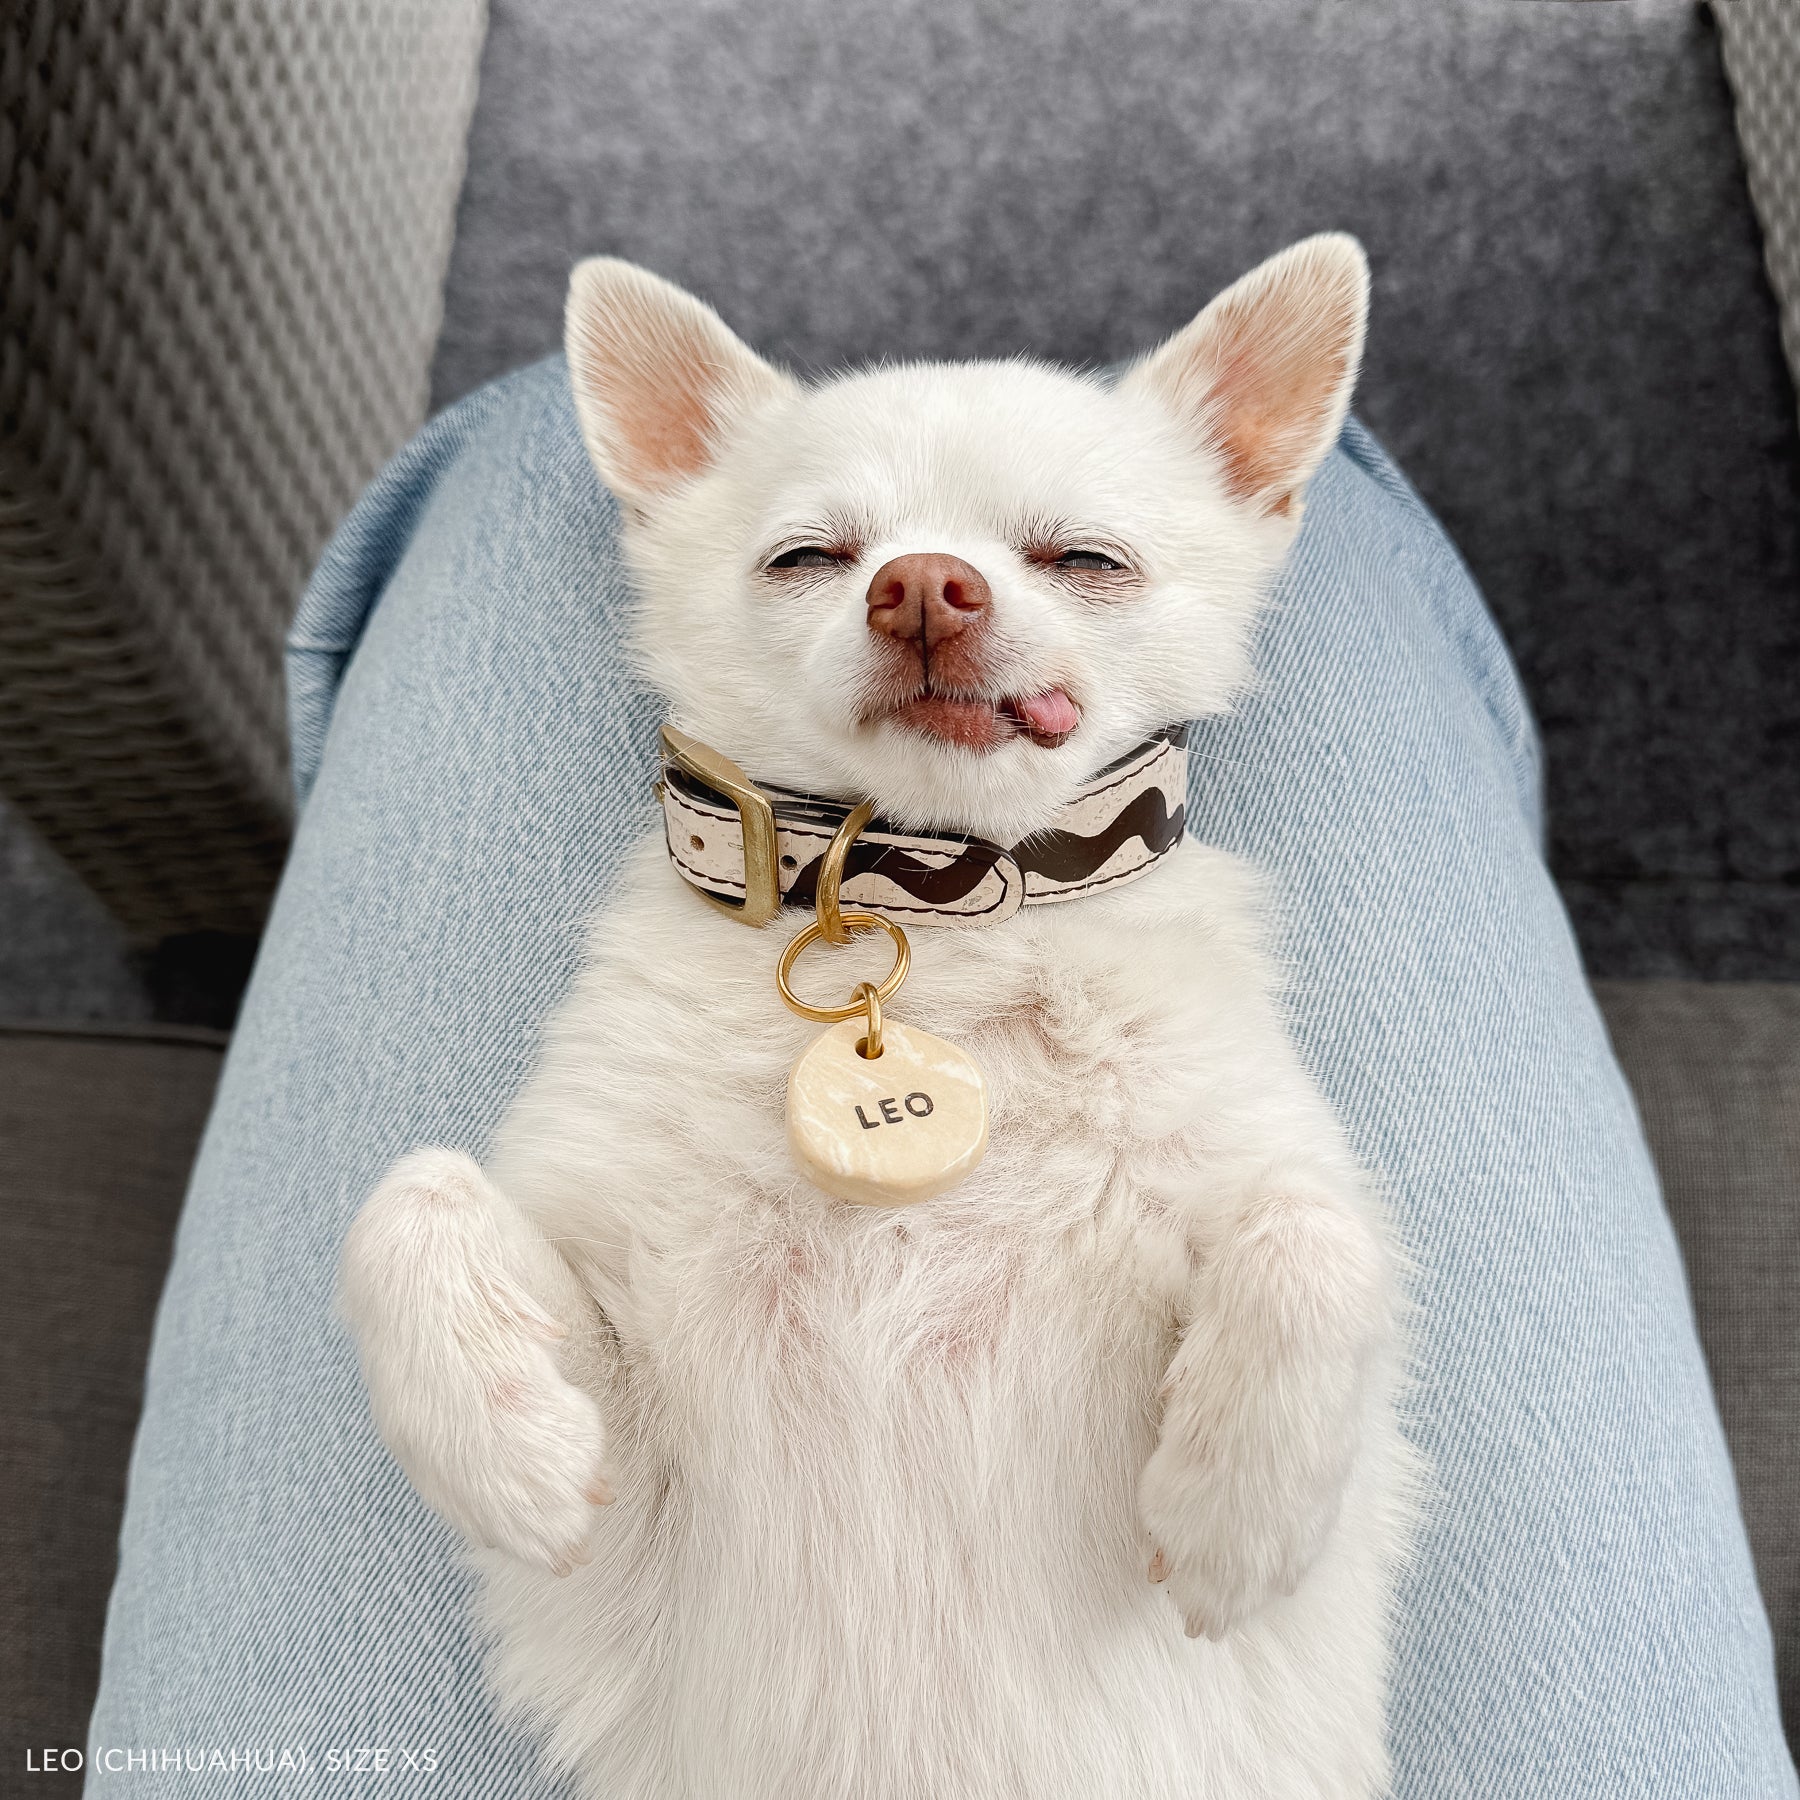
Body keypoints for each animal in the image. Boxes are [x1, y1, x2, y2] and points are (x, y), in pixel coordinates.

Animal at [340, 239, 1418, 1800]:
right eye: (808, 558)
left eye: (1085, 557)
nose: (924, 584)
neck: (937, 909)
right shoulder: (636, 1466)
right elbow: (409, 1198)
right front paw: (509, 1453)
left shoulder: (1290, 1236)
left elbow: (1315, 1232)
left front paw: (1236, 1509)